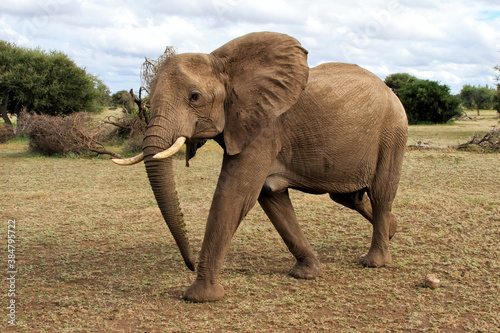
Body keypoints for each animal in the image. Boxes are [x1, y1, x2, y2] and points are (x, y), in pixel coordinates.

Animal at [114, 31, 410, 300]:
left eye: (194, 97)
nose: (190, 264)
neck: (224, 64)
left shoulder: (264, 130)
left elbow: (235, 194)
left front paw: (200, 296)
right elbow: (270, 195)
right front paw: (307, 272)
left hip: (393, 131)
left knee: (381, 192)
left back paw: (374, 261)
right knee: (348, 196)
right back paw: (392, 230)